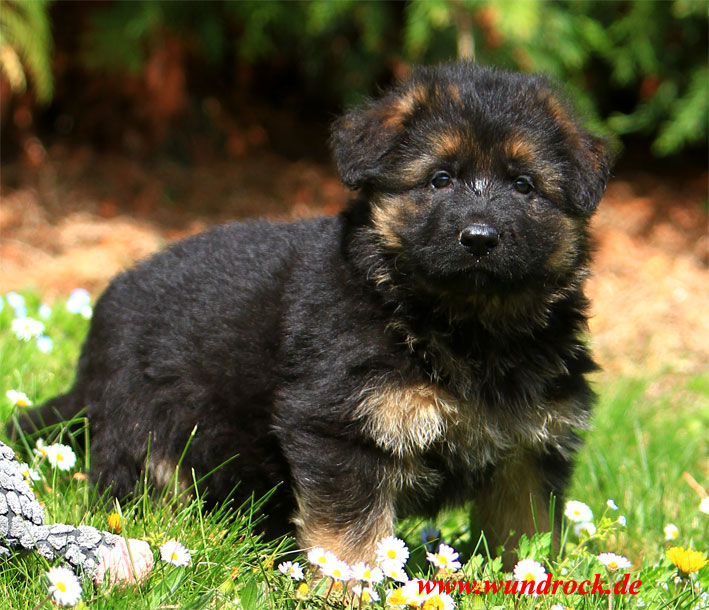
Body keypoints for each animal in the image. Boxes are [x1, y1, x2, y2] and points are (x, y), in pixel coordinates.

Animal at [22, 62, 611, 565]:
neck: (464, 326)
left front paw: (528, 581)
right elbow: (351, 537)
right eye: (440, 179)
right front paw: (353, 586)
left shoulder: (531, 446)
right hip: (145, 431)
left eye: (524, 185)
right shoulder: (340, 425)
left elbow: (525, 531)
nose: (480, 238)